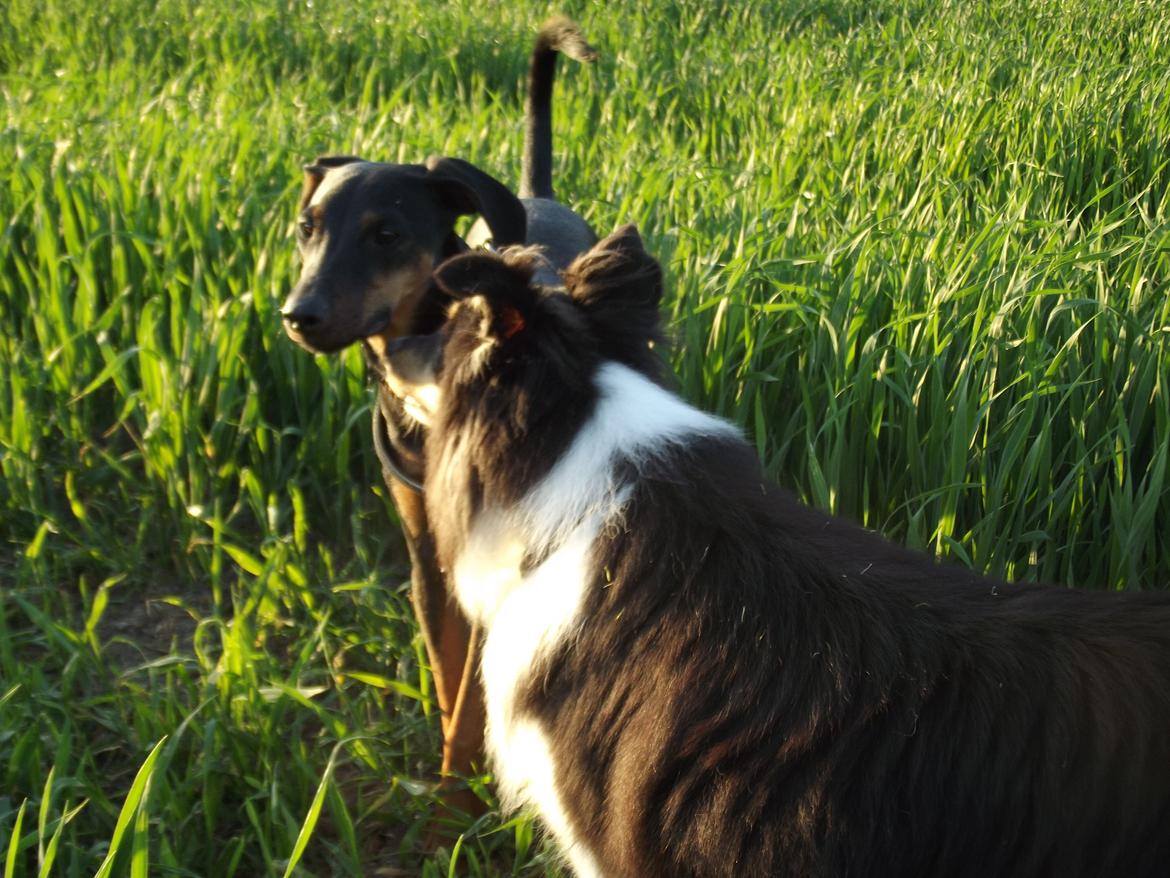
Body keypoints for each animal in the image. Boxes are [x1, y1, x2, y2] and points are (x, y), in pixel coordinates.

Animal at [279, 15, 599, 810]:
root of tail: (535, 195)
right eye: (306, 226)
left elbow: (474, 696)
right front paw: (451, 778)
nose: (299, 316)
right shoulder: (427, 553)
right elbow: (450, 672)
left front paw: (457, 799)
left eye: (387, 233)